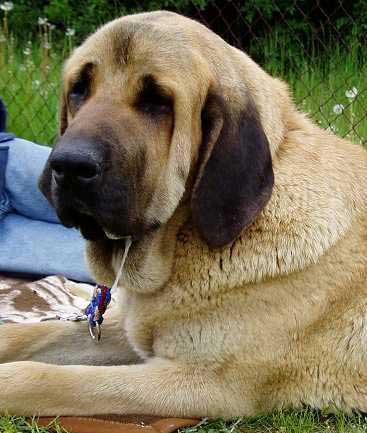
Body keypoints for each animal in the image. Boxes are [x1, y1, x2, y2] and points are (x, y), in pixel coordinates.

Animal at [0, 10, 367, 416]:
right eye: (79, 88)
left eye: (157, 101)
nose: (69, 165)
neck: (178, 243)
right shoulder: (129, 329)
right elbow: (33, 333)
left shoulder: (200, 382)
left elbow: (44, 377)